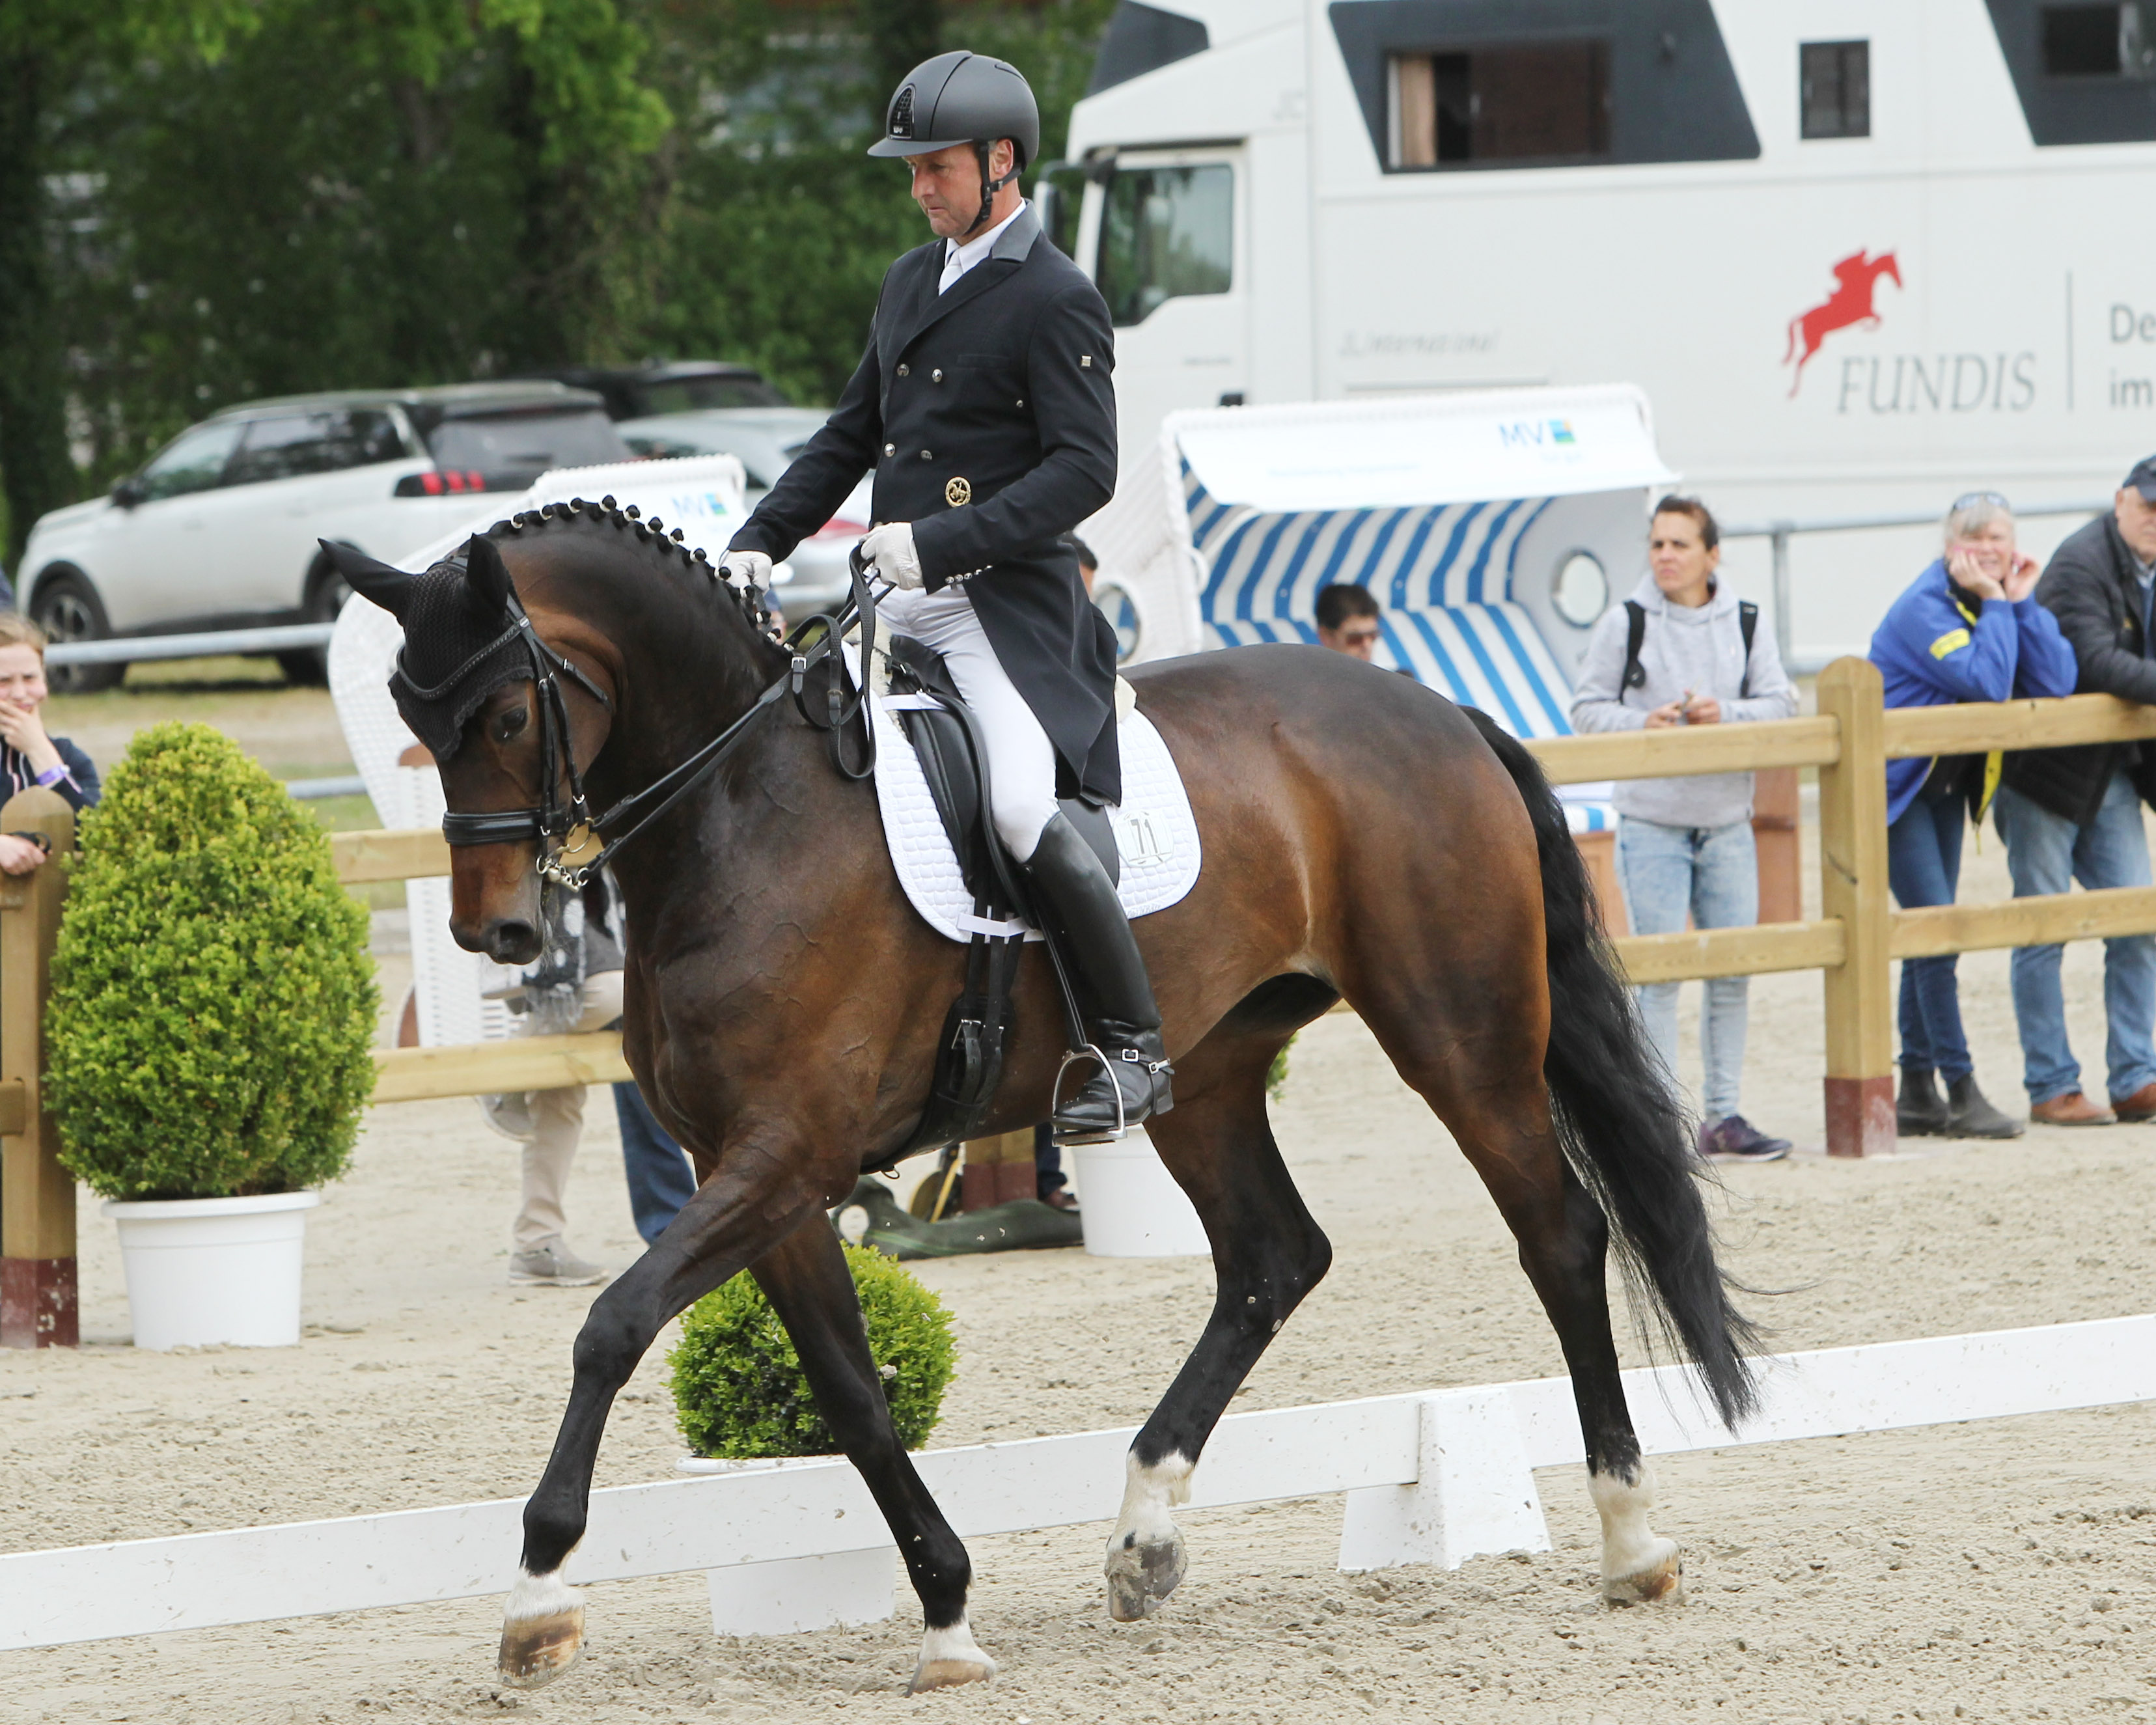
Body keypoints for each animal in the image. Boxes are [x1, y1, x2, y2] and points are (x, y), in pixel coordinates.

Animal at [327, 495, 1759, 1681]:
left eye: (507, 716)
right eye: (410, 717)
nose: (498, 933)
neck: (741, 812)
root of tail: (1439, 708)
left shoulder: (789, 1150)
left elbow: (613, 1326)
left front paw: (538, 1594)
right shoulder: (755, 1171)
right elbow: (849, 1392)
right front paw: (948, 1613)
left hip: (1457, 1030)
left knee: (1558, 1232)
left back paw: (1632, 1540)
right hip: (1211, 1071)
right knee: (1271, 1259)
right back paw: (1143, 1536)